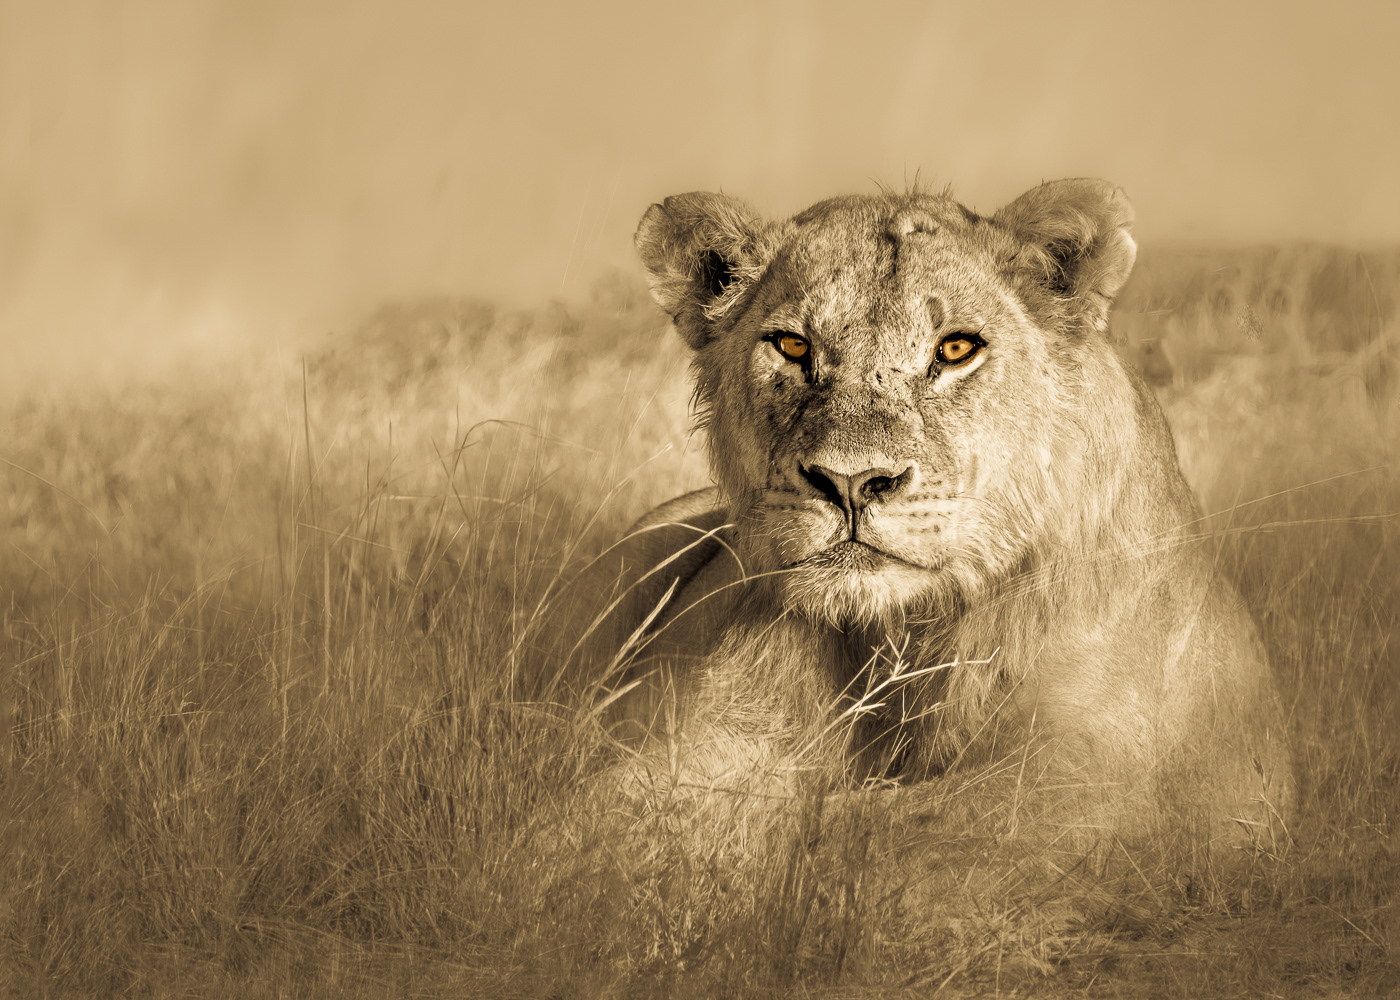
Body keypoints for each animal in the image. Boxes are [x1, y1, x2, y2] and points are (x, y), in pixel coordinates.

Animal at [577, 179, 1293, 849]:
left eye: (954, 350)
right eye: (791, 346)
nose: (850, 481)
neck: (901, 635)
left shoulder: (1102, 776)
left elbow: (864, 830)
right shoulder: (703, 733)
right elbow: (651, 794)